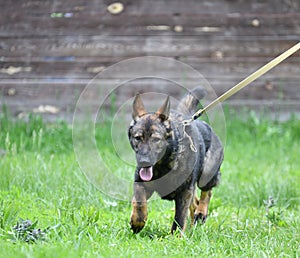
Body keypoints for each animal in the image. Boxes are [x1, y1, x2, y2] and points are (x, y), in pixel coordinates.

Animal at [126, 87, 223, 234]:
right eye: (138, 138)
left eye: (156, 139)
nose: (144, 161)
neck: (163, 165)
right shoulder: (141, 183)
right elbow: (139, 201)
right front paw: (137, 221)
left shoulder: (184, 192)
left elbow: (179, 217)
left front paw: (176, 236)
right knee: (194, 203)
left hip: (206, 173)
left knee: (206, 192)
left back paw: (201, 212)